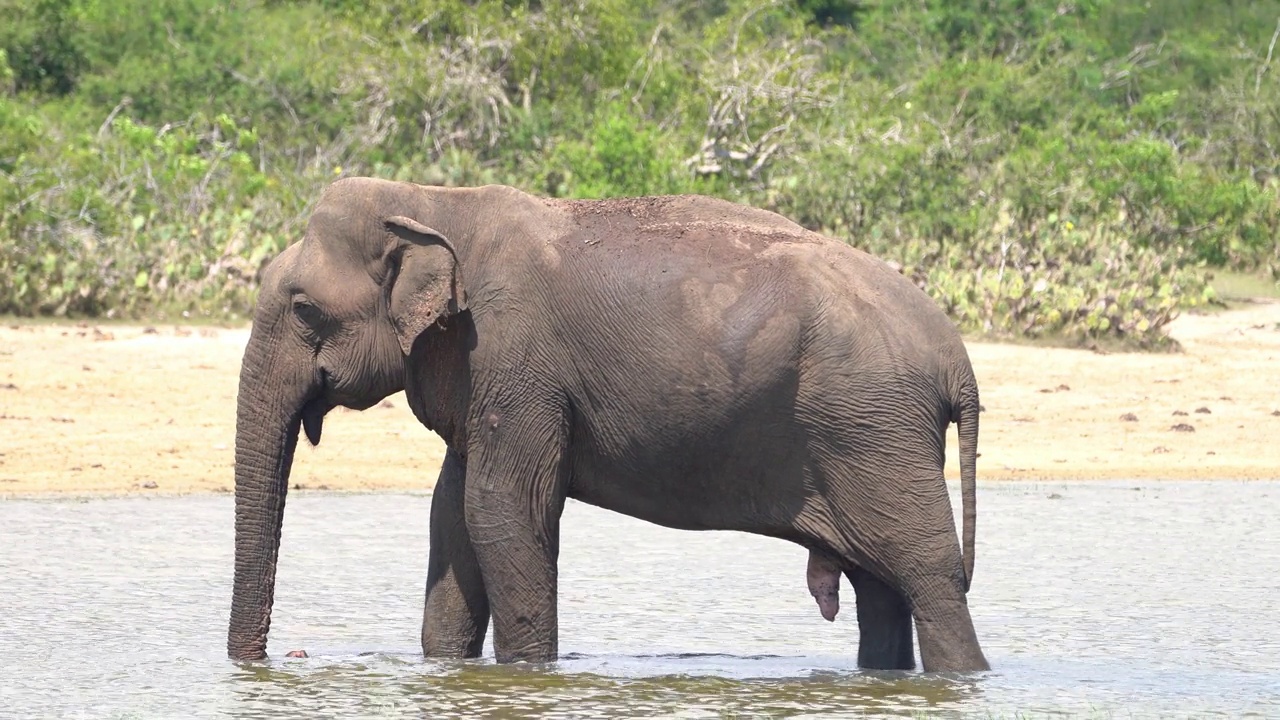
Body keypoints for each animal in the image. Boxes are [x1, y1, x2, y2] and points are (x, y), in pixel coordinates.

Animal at [227, 176, 988, 671]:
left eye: (303, 308)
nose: (271, 660)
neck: (434, 200)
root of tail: (958, 362)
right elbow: (451, 517)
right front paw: (449, 672)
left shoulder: (514, 358)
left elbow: (500, 512)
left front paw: (528, 676)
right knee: (881, 586)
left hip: (873, 427)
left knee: (928, 576)